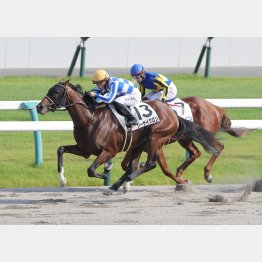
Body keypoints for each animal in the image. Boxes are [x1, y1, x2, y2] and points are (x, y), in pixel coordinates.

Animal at [36, 81, 221, 193]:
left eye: (57, 92)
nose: (39, 107)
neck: (90, 118)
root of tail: (172, 114)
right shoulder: (85, 150)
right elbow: (61, 149)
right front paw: (62, 180)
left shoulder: (109, 151)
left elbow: (91, 170)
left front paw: (105, 175)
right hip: (145, 143)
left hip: (156, 138)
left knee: (151, 164)